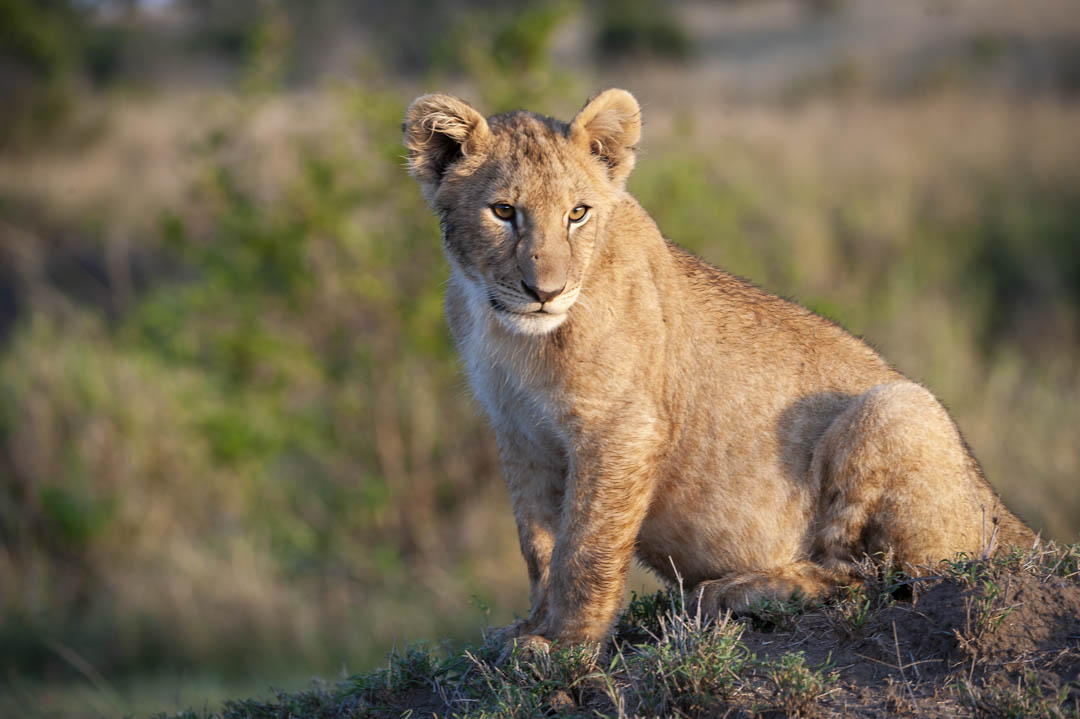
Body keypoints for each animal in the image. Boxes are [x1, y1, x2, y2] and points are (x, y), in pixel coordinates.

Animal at [402, 88, 1035, 647]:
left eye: (577, 213)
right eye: (503, 211)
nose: (545, 291)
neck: (511, 336)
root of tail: (1013, 521)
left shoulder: (621, 428)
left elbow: (585, 545)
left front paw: (567, 645)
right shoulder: (519, 434)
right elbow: (538, 544)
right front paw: (532, 625)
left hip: (898, 406)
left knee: (874, 576)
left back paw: (736, 591)